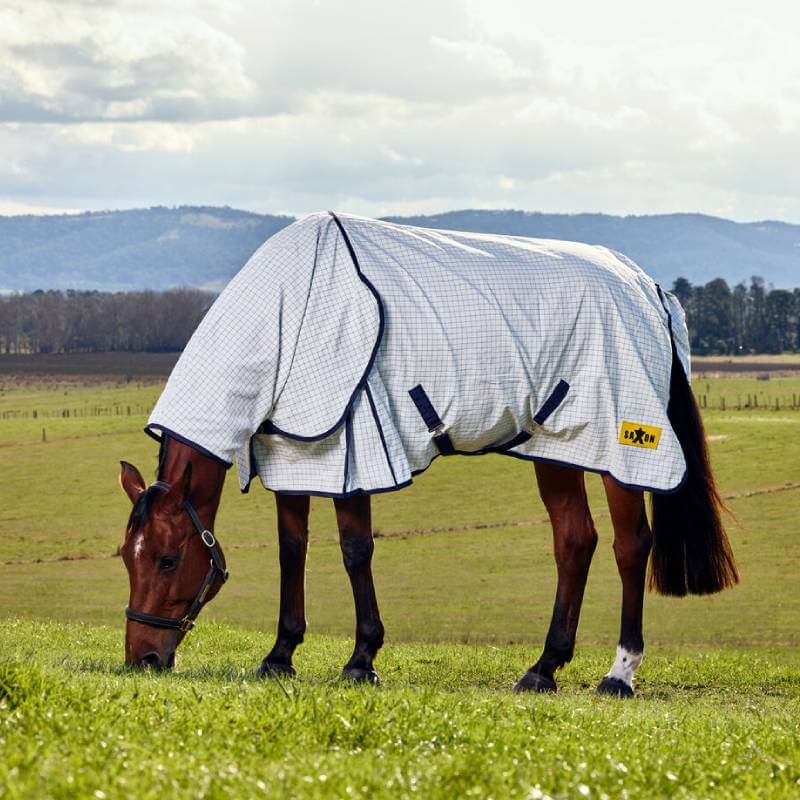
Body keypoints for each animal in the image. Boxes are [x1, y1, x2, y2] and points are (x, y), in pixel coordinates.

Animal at [118, 212, 738, 695]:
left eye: (168, 559)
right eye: (127, 556)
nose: (142, 659)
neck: (288, 312)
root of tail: (647, 289)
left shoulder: (354, 448)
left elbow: (355, 551)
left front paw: (360, 660)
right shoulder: (293, 453)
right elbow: (292, 551)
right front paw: (279, 656)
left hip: (621, 447)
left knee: (630, 546)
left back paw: (619, 674)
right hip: (556, 446)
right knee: (574, 542)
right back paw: (543, 669)